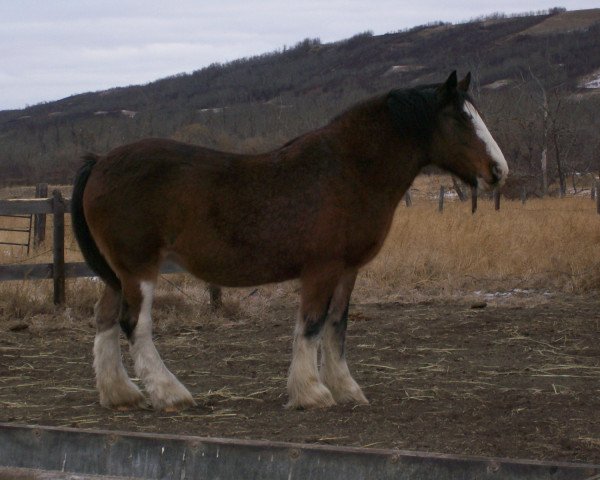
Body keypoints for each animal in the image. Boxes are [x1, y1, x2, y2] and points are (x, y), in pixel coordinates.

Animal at [72, 71, 508, 408]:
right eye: (460, 121)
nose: (499, 171)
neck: (348, 170)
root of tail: (100, 162)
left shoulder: (347, 270)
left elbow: (337, 326)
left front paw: (346, 389)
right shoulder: (322, 268)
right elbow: (311, 325)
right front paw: (311, 393)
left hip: (117, 274)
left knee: (105, 319)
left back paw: (121, 394)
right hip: (139, 268)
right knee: (134, 324)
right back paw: (169, 394)